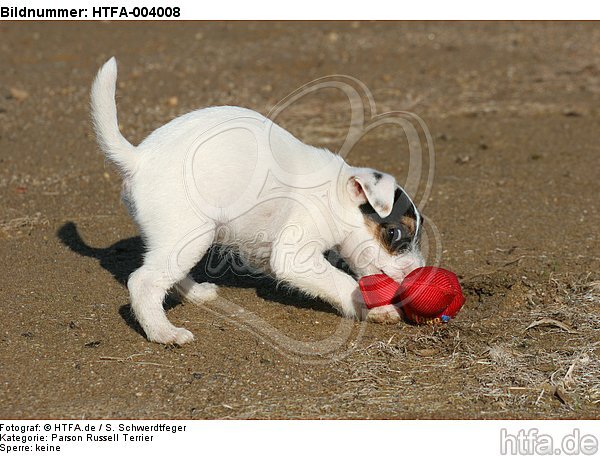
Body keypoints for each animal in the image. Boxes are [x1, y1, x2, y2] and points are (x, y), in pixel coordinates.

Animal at [91, 57, 424, 344]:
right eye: (393, 233)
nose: (416, 271)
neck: (335, 193)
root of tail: (138, 158)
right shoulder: (293, 256)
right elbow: (344, 283)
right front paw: (374, 307)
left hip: (179, 240)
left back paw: (195, 294)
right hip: (189, 235)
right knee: (143, 283)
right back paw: (164, 332)